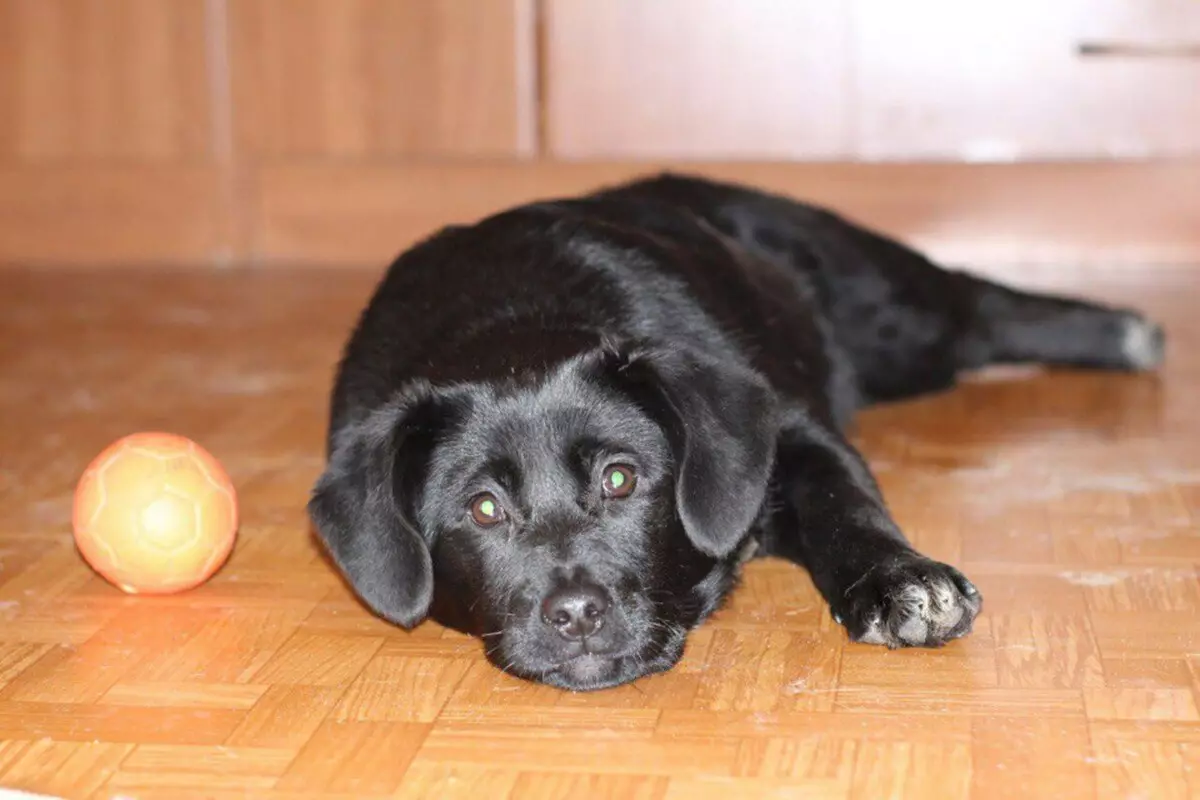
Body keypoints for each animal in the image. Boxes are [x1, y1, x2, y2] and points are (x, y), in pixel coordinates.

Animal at [307, 172, 1161, 690]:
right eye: (483, 508)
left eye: (620, 478)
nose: (576, 613)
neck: (513, 314)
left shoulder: (796, 429)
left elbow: (845, 504)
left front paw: (899, 580)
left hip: (897, 320)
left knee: (981, 307)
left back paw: (1123, 332)